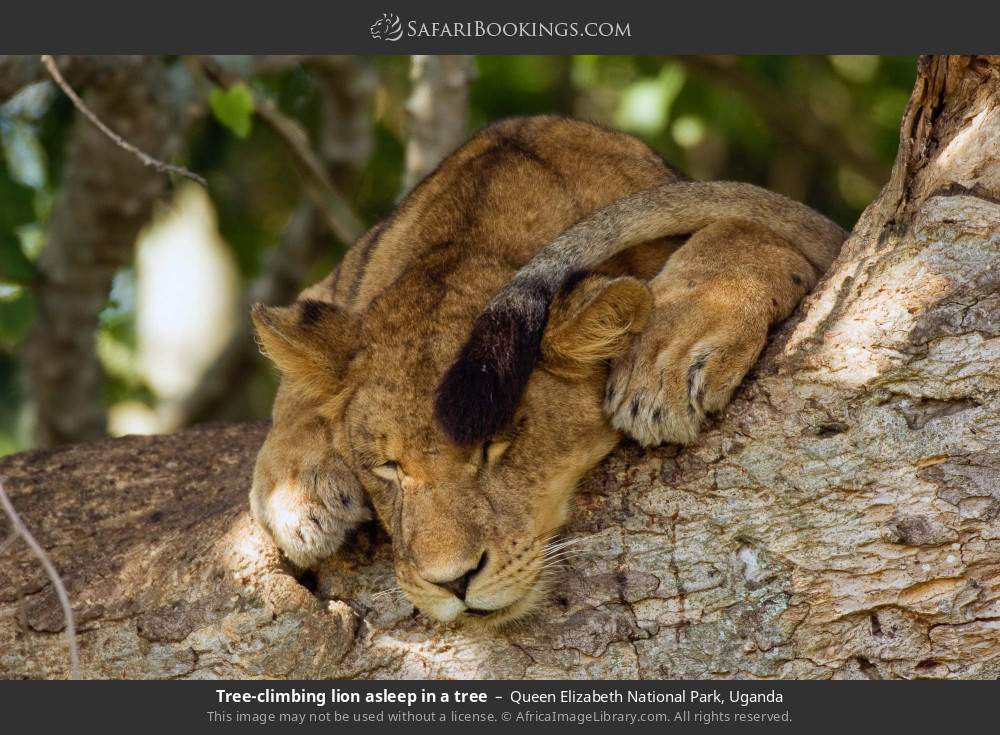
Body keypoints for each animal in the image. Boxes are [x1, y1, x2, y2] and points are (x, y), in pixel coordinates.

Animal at [249, 116, 846, 627]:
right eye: (389, 467)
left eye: (494, 448)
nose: (453, 582)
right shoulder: (331, 287)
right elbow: (293, 395)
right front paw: (298, 493)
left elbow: (743, 230)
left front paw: (668, 360)